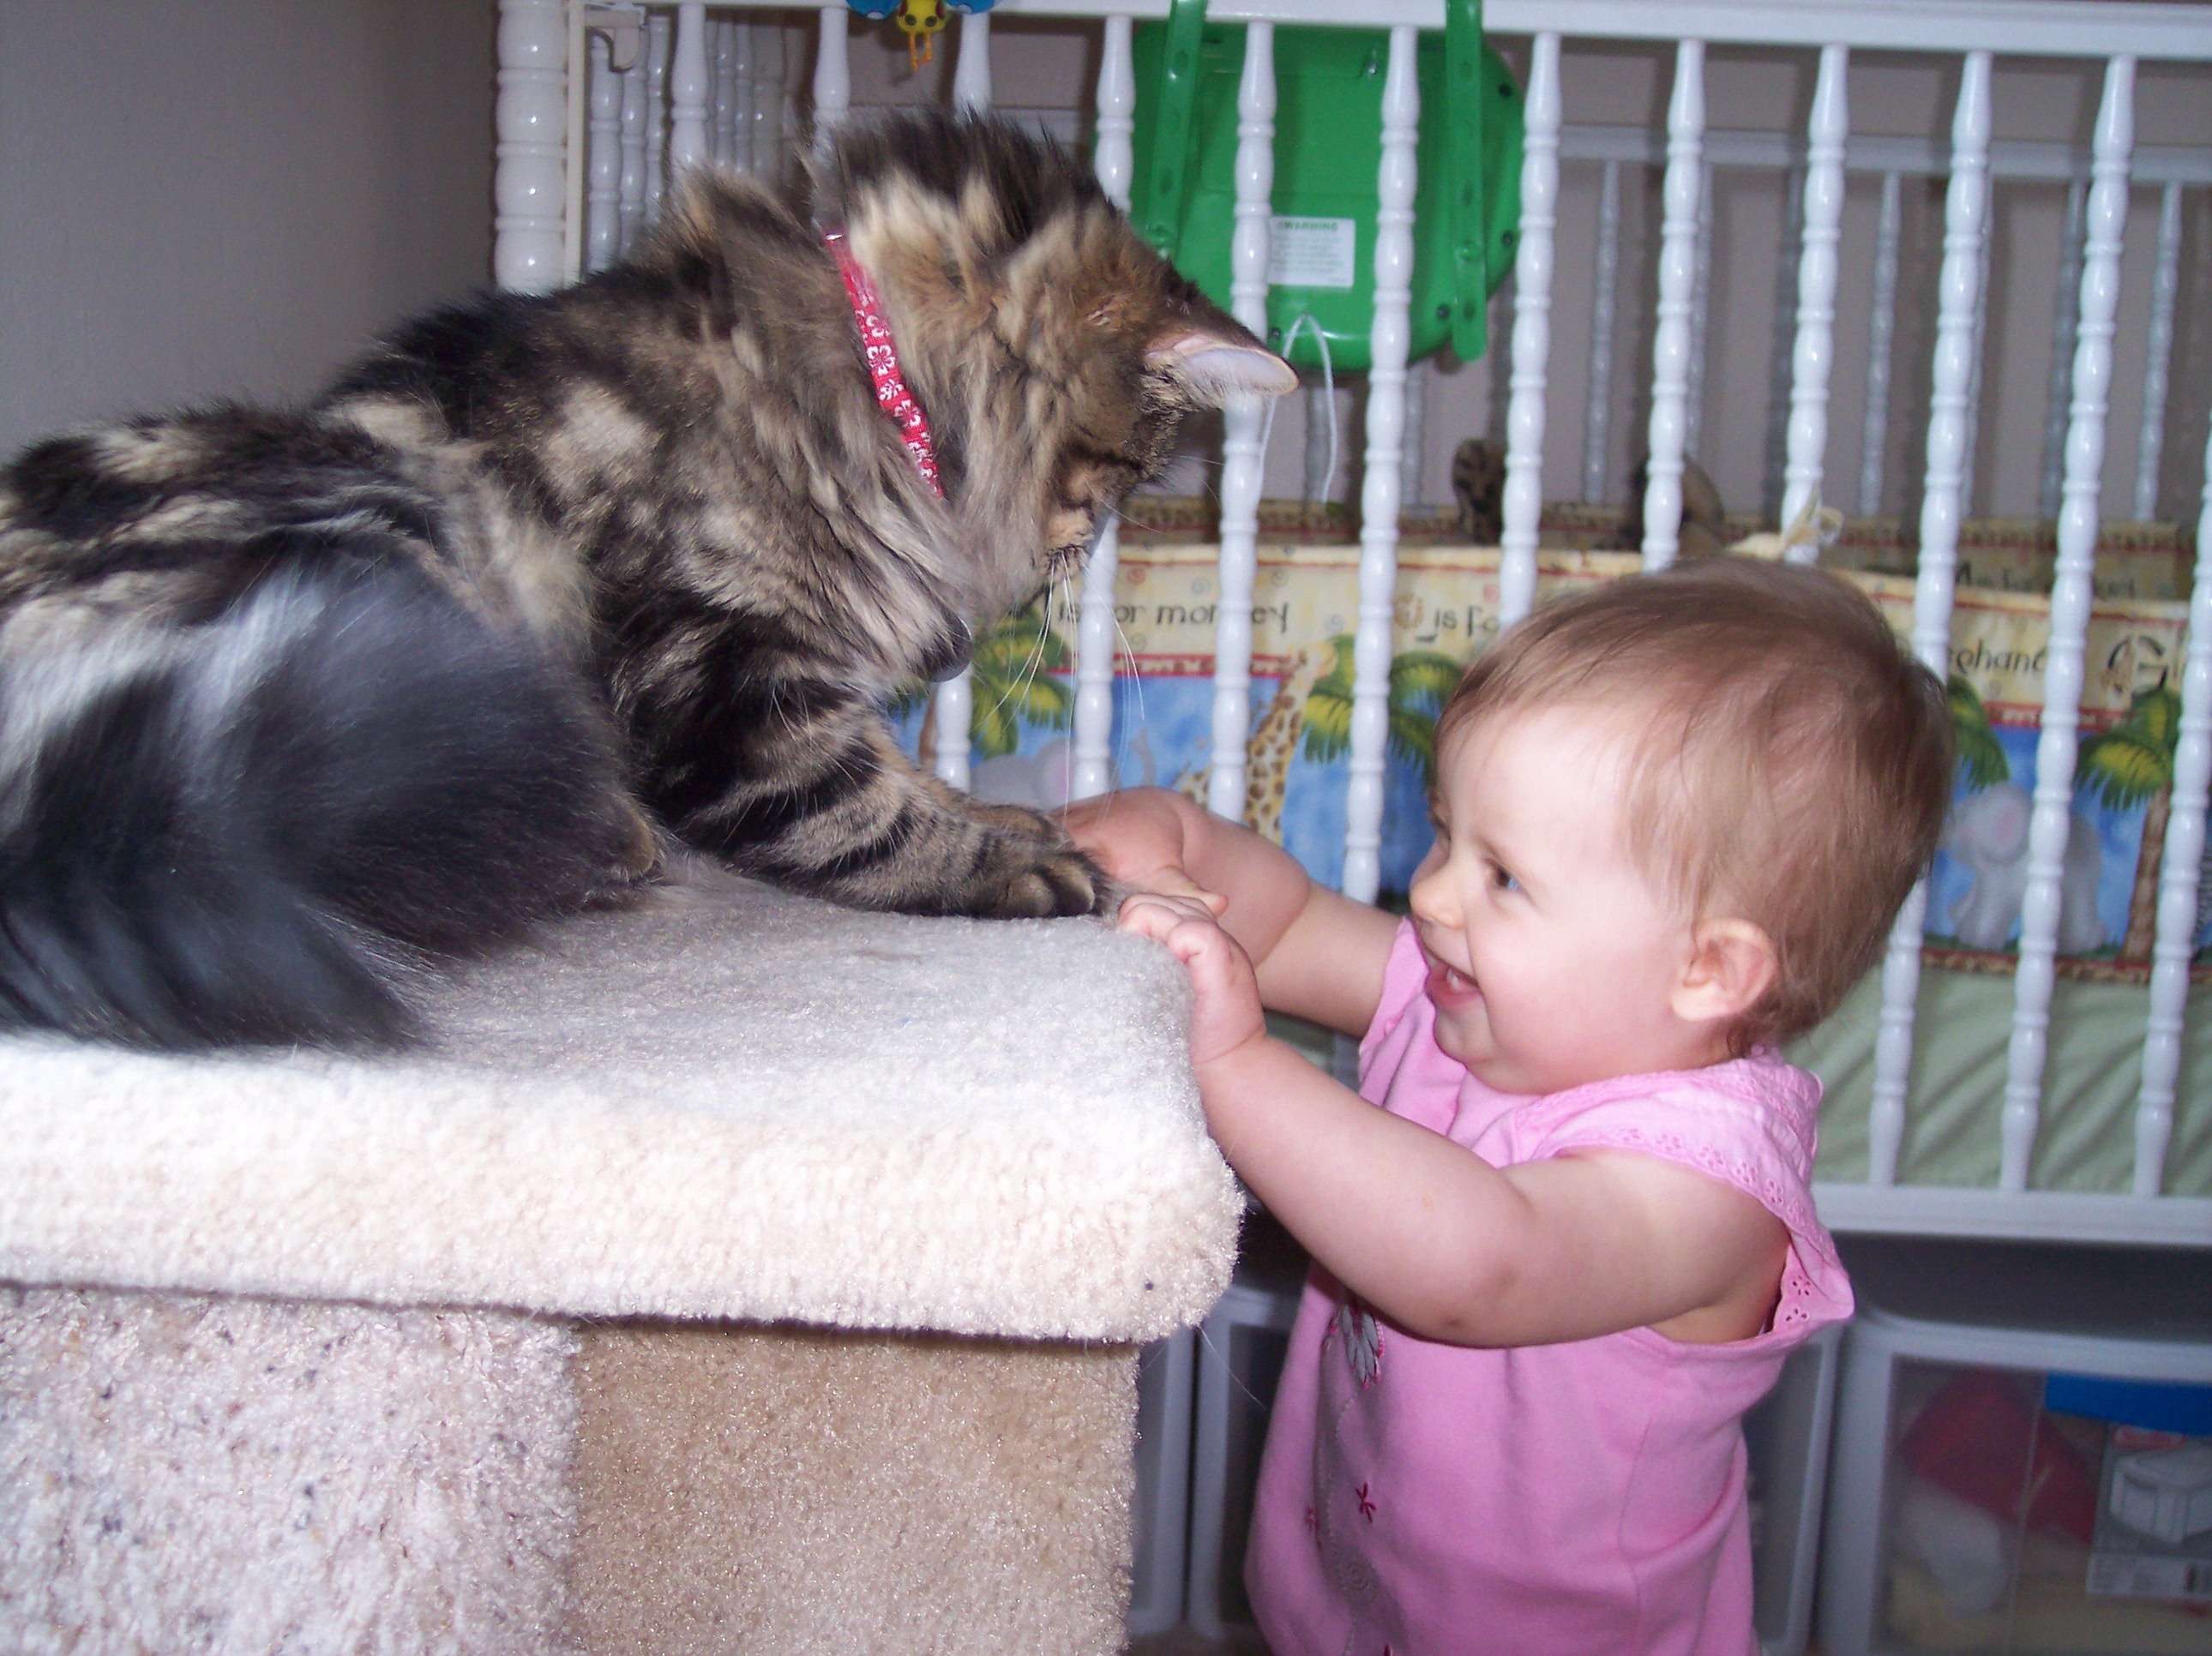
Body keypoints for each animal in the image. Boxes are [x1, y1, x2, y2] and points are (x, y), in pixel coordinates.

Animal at [0, 110, 1294, 1050]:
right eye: (1121, 476)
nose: (1078, 558)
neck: (880, 400)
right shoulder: (717, 670)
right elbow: (863, 815)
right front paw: (1043, 867)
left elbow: (904, 773)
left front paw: (1001, 812)